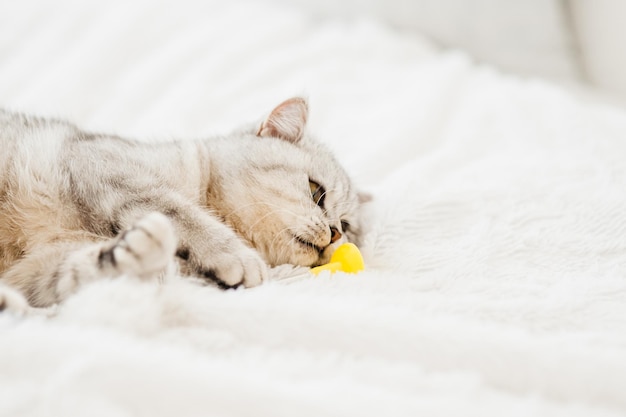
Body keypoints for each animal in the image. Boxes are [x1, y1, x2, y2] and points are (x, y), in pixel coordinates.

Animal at [0, 96, 366, 312]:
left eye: (346, 226)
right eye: (316, 192)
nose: (335, 234)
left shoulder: (38, 269)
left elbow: (78, 274)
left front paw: (137, 253)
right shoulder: (105, 164)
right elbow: (177, 211)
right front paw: (236, 257)